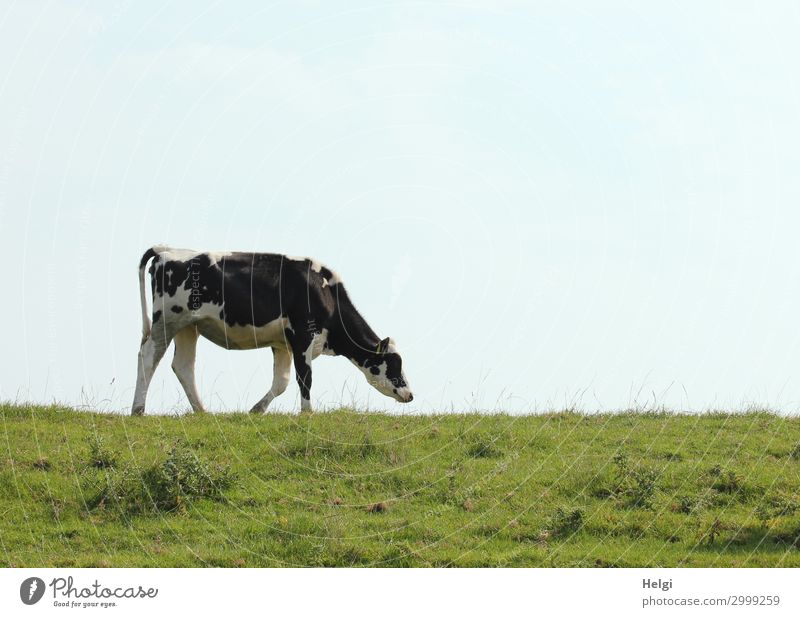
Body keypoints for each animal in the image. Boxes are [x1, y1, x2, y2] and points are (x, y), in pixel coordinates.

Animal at [130, 245, 412, 414]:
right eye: (394, 364)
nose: (409, 394)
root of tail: (168, 251)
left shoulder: (282, 344)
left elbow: (281, 382)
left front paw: (256, 410)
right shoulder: (303, 337)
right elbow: (305, 378)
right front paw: (308, 414)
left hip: (188, 326)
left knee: (183, 366)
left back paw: (202, 411)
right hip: (167, 320)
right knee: (148, 357)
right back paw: (138, 410)